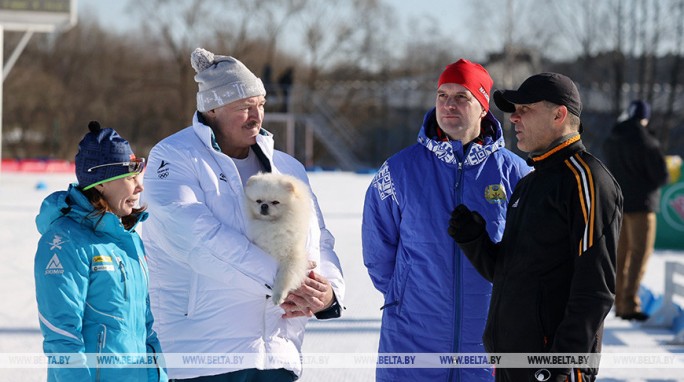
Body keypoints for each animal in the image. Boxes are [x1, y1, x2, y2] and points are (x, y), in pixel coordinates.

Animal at [244, 172, 314, 304]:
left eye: (275, 202)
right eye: (258, 201)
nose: (264, 206)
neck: (273, 225)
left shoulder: (292, 255)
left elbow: (285, 276)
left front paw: (278, 295)